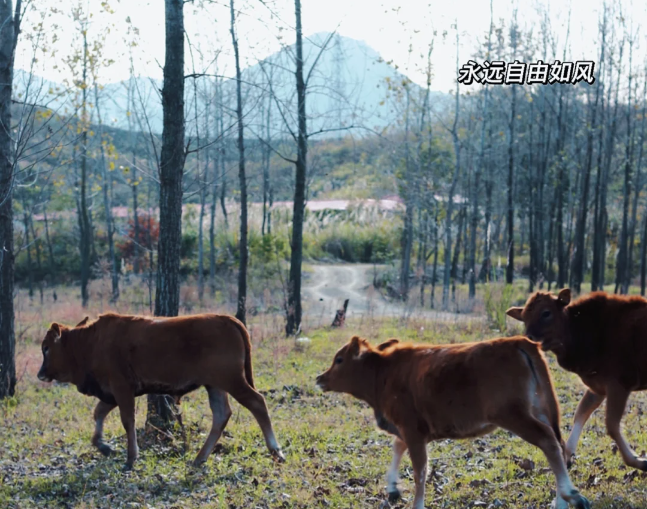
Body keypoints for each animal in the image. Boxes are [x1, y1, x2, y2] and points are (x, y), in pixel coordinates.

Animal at [36, 312, 284, 470]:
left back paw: (276, 451)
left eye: (46, 348)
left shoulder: (122, 389)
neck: (89, 342)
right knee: (222, 414)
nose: (40, 374)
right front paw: (105, 447)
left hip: (232, 381)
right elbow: (98, 413)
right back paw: (199, 458)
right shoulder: (111, 393)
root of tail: (228, 319)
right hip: (215, 386)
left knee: (257, 402)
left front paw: (130, 459)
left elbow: (127, 421)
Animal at [316, 334, 588, 508]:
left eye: (339, 359)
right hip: (538, 410)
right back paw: (562, 501)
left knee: (548, 442)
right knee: (558, 446)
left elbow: (420, 471)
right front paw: (392, 489)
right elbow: (397, 447)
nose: (320, 378)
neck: (384, 371)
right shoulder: (412, 430)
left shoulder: (412, 430)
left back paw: (571, 496)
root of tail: (519, 341)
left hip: (514, 415)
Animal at [508, 288, 647, 470]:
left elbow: (611, 425)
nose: (529, 337)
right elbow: (581, 413)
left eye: (546, 312)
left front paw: (637, 460)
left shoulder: (619, 384)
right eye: (524, 317)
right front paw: (567, 455)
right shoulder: (598, 387)